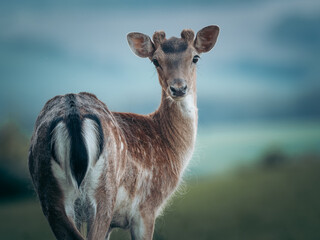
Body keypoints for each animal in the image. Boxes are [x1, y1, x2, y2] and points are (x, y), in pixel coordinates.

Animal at [28, 25, 219, 239]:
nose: (178, 88)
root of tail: (73, 113)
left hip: (49, 191)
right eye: (155, 60)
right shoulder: (146, 208)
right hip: (103, 195)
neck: (171, 148)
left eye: (195, 57)